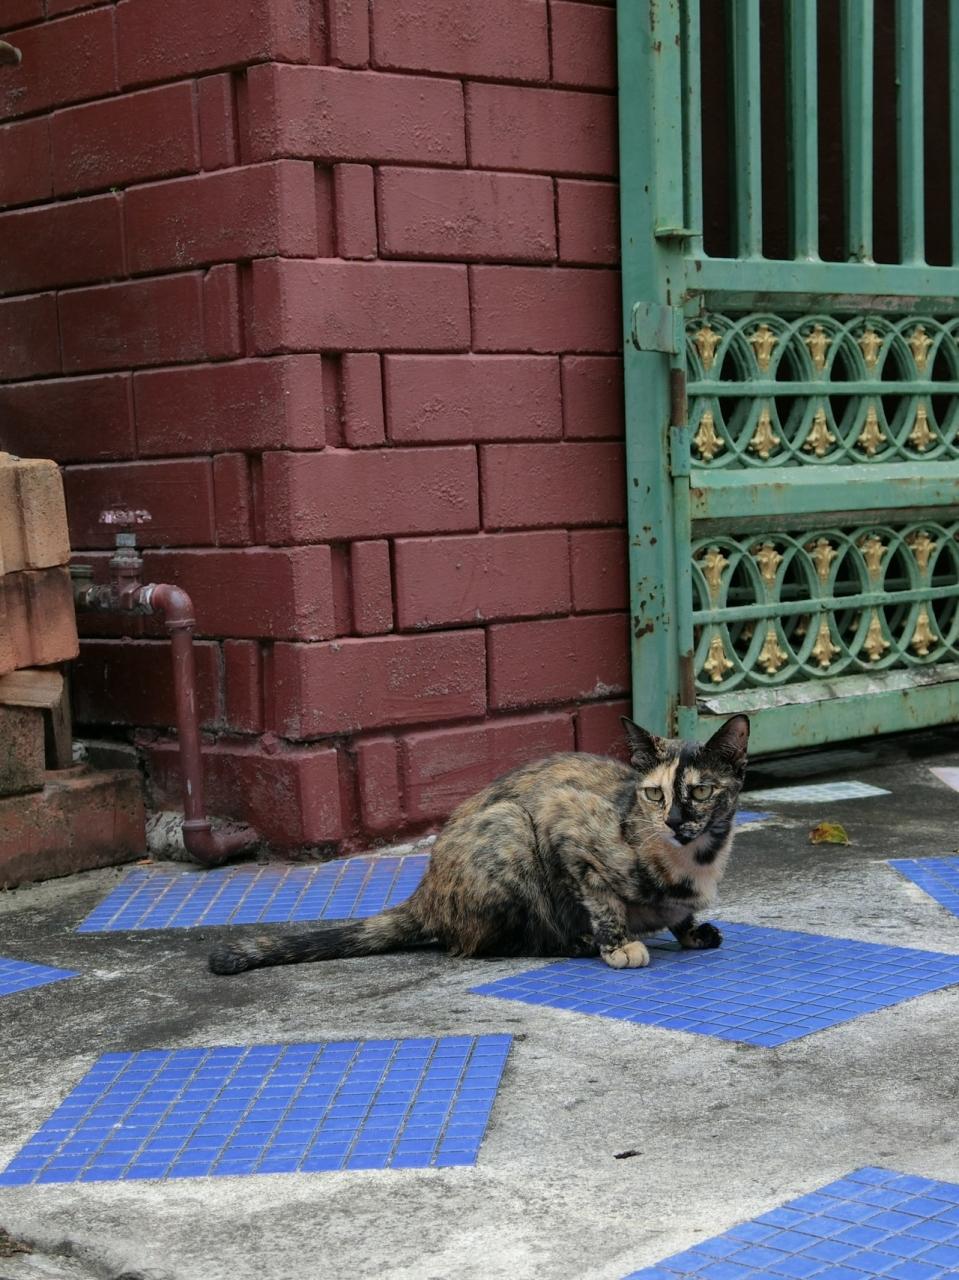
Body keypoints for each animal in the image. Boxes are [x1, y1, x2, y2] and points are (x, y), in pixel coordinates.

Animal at [208, 714, 749, 977]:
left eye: (700, 791)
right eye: (655, 793)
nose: (673, 820)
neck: (695, 861)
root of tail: (424, 895)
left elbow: (681, 915)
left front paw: (691, 931)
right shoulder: (564, 819)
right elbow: (602, 900)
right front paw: (618, 944)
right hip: (510, 829)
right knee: (480, 944)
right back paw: (573, 943)